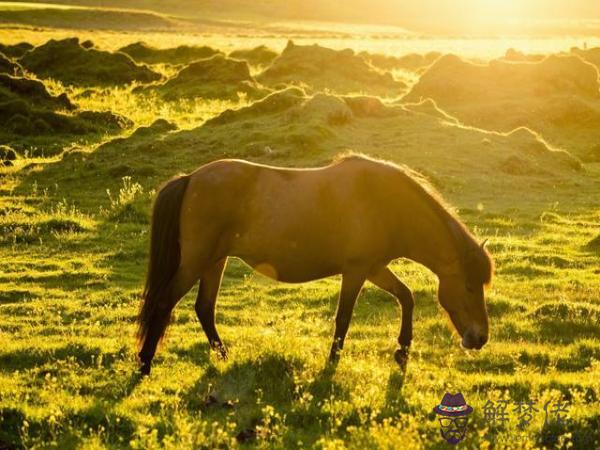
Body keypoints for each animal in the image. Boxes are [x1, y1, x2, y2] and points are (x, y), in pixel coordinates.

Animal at [136, 155, 492, 376]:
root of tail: (191, 178)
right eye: (469, 285)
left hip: (214, 261)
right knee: (165, 302)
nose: (479, 338)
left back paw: (224, 356)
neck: (385, 203)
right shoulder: (357, 269)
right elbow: (344, 318)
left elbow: (406, 297)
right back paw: (145, 363)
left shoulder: (374, 267)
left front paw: (402, 352)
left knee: (204, 308)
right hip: (197, 261)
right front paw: (332, 363)